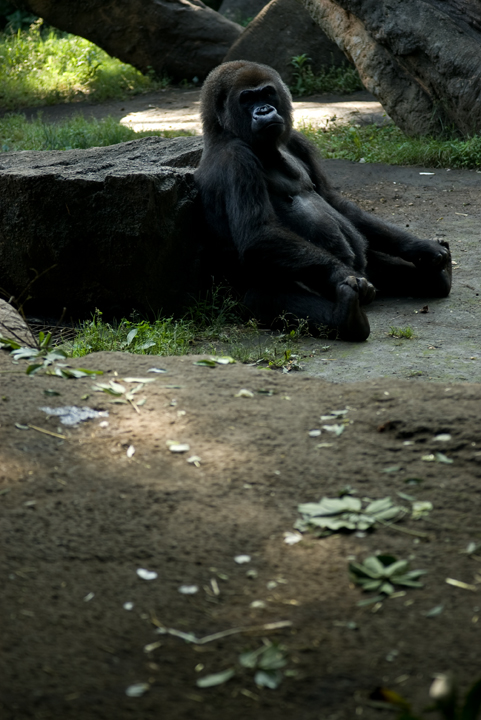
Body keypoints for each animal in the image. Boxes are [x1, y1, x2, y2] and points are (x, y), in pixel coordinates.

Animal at [194, 59, 450, 340]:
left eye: (267, 93)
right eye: (247, 98)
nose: (264, 110)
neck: (224, 131)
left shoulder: (297, 140)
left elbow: (333, 200)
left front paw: (422, 247)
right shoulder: (236, 159)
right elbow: (258, 233)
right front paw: (343, 276)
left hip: (368, 266)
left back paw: (438, 277)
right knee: (264, 296)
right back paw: (345, 317)